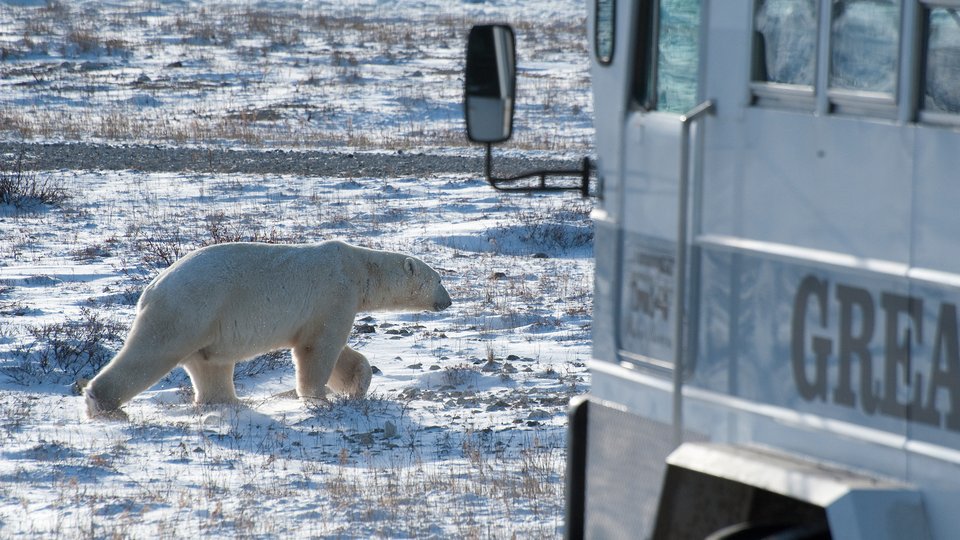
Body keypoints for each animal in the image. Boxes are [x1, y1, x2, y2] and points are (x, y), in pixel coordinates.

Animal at [84, 240, 452, 417]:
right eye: (439, 279)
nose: (448, 301)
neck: (358, 269)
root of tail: (151, 289)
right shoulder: (334, 294)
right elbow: (319, 349)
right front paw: (319, 398)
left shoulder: (331, 306)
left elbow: (337, 352)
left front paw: (355, 386)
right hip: (188, 310)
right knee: (150, 353)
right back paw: (101, 402)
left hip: (206, 326)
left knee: (211, 367)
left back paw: (228, 403)